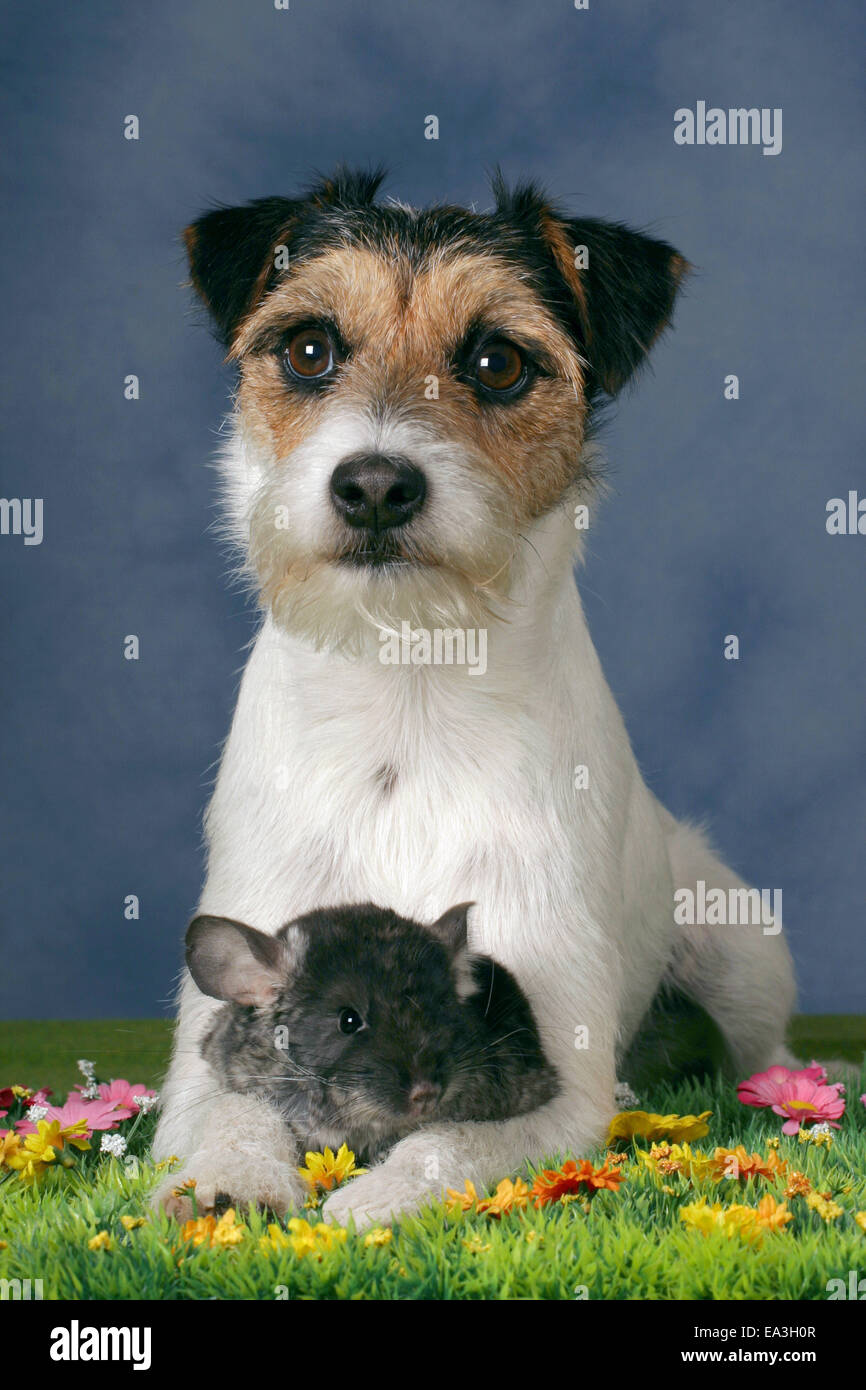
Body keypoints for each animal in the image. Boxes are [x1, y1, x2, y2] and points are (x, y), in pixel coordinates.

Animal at [152, 168, 795, 1223]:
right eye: (308, 348)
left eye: (498, 362)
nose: (375, 484)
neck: (407, 682)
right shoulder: (220, 1025)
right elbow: (228, 1111)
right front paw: (229, 1183)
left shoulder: (562, 1080)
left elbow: (446, 1146)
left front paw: (368, 1207)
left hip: (742, 947)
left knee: (764, 1048)